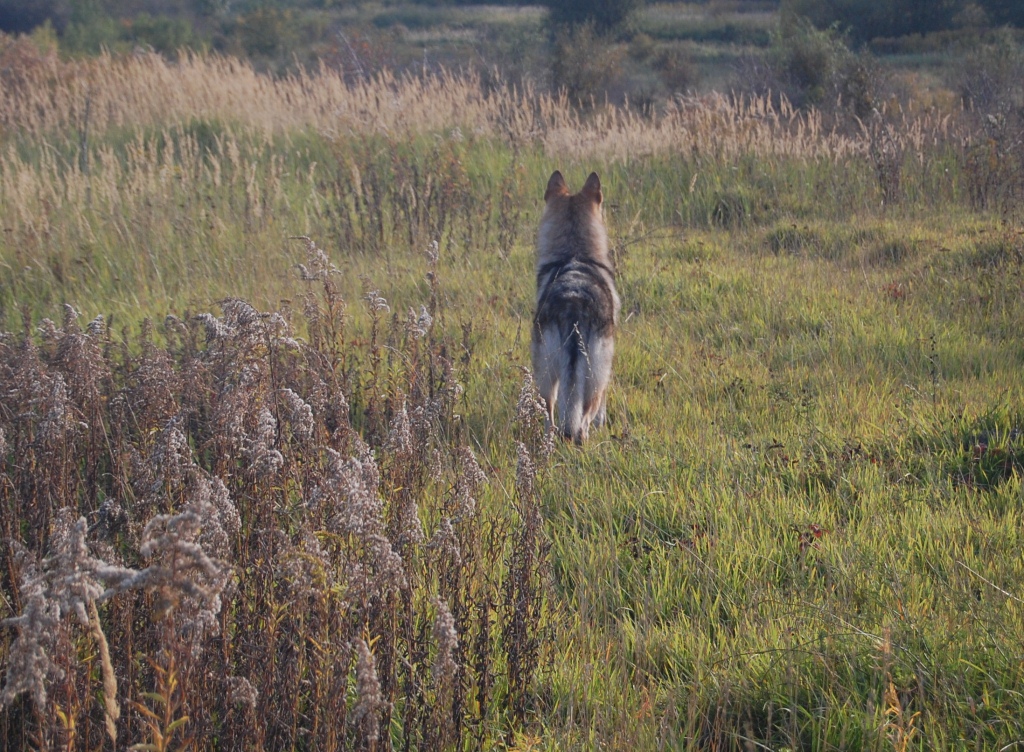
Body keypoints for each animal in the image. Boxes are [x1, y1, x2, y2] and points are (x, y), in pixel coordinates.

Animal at [532, 172, 618, 442]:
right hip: (595, 376)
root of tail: (573, 304)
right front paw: (603, 424)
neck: (575, 253)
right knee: (584, 418)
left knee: (550, 414)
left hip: (545, 375)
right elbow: (601, 410)